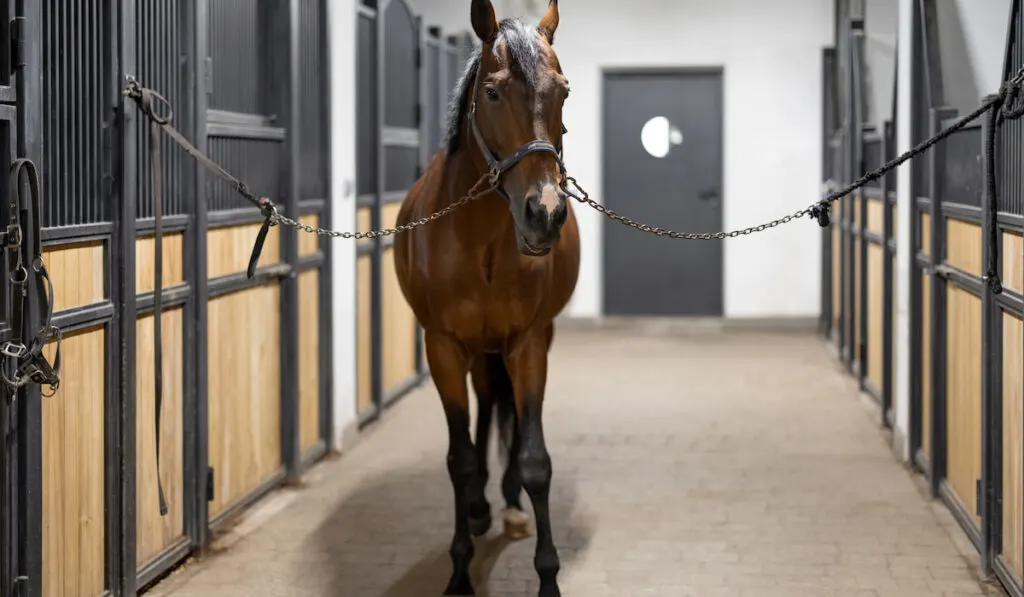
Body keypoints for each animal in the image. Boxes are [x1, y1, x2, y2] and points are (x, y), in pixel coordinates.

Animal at [391, 0, 581, 593]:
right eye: (493, 92)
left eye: (564, 91)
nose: (545, 214)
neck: (480, 244)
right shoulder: (442, 347)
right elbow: (461, 459)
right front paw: (459, 571)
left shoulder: (529, 343)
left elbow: (535, 457)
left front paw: (547, 576)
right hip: (474, 350)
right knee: (482, 413)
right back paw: (478, 509)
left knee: (507, 412)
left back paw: (509, 505)